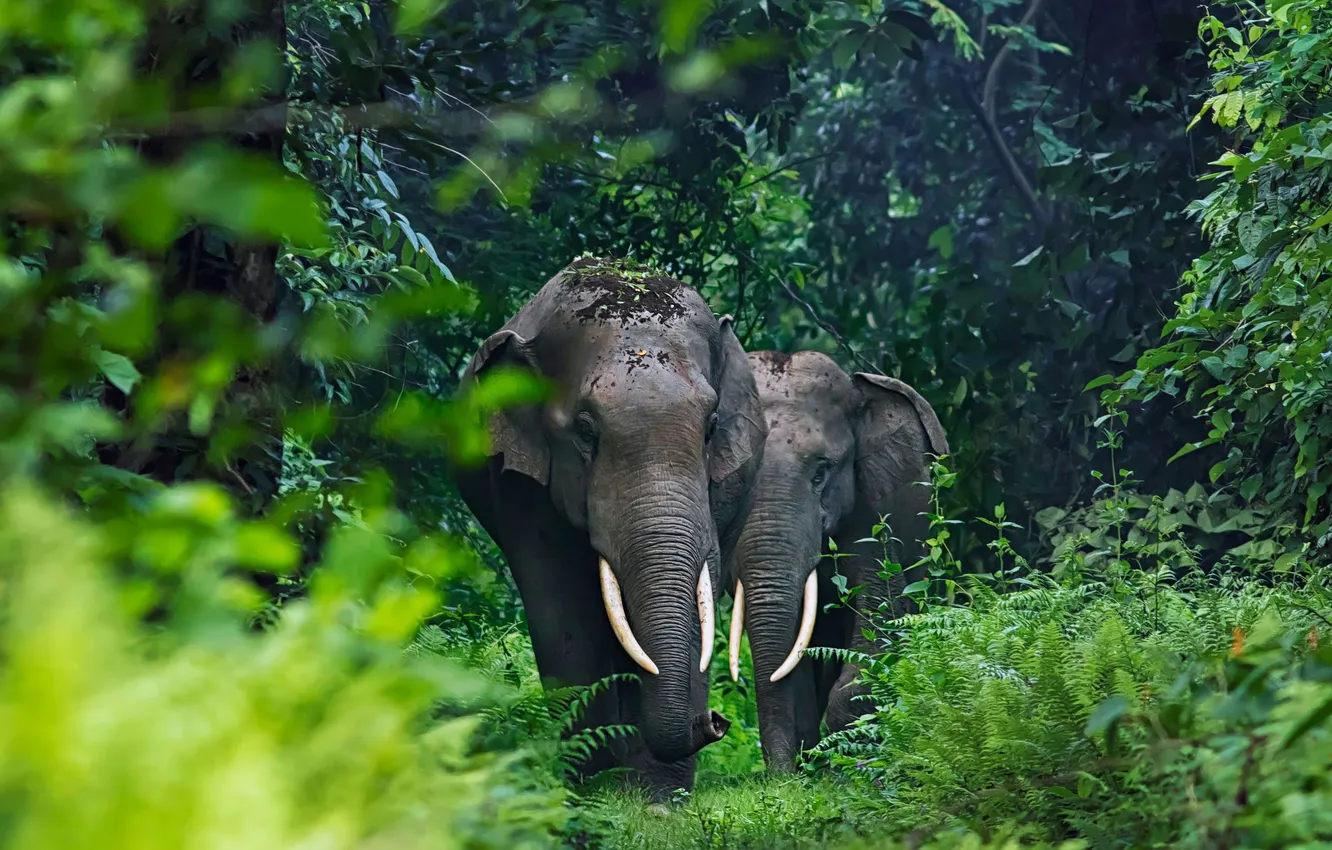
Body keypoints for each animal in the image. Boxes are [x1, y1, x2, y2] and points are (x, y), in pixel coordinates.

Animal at [452, 257, 768, 797]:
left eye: (710, 428)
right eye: (585, 431)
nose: (715, 721)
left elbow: (698, 593)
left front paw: (658, 799)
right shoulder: (519, 488)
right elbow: (563, 605)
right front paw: (593, 786)